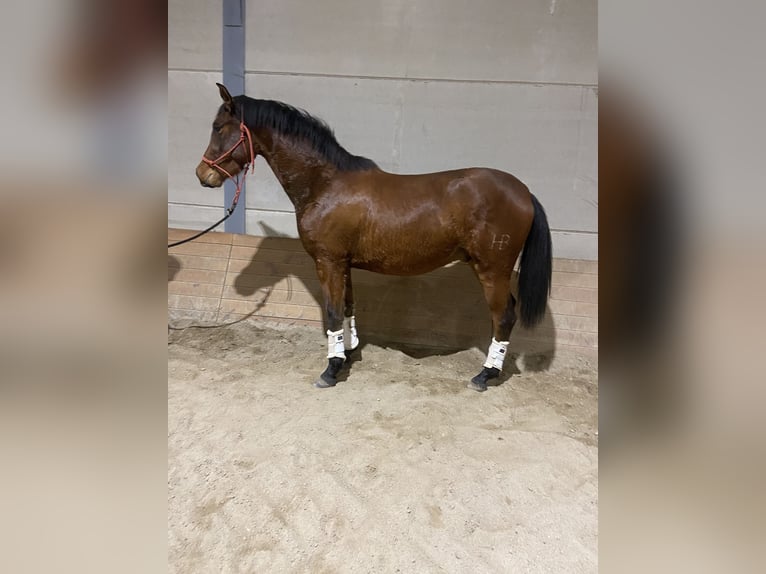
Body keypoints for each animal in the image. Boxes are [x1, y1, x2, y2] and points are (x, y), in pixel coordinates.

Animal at [194, 84, 552, 392]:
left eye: (218, 127)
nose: (202, 174)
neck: (326, 184)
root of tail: (523, 191)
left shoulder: (328, 261)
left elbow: (332, 311)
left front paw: (330, 369)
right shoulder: (343, 263)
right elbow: (348, 306)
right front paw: (347, 353)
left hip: (492, 269)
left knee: (504, 316)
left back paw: (485, 374)